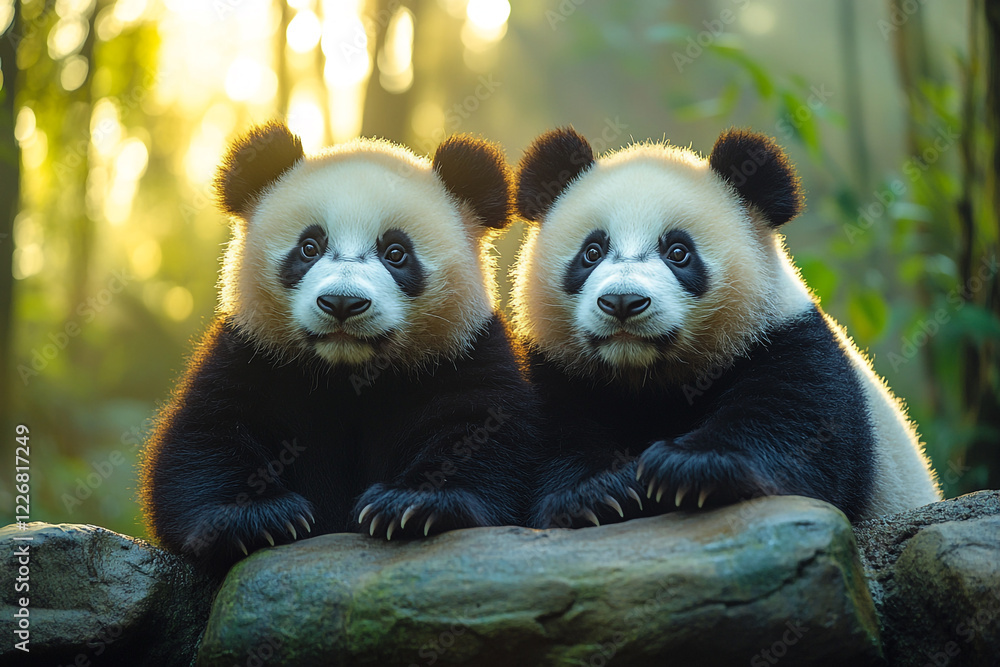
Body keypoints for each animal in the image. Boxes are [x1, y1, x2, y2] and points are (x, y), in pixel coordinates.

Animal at [140, 121, 541, 575]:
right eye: (309, 247)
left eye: (396, 253)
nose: (342, 303)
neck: (349, 371)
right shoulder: (253, 352)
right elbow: (208, 437)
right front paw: (256, 519)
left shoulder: (460, 352)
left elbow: (482, 434)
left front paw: (411, 506)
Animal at [511, 126, 942, 529]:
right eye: (592, 252)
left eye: (678, 252)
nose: (622, 302)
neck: (647, 376)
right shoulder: (555, 370)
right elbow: (555, 442)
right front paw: (599, 497)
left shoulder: (786, 342)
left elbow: (790, 427)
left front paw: (688, 470)